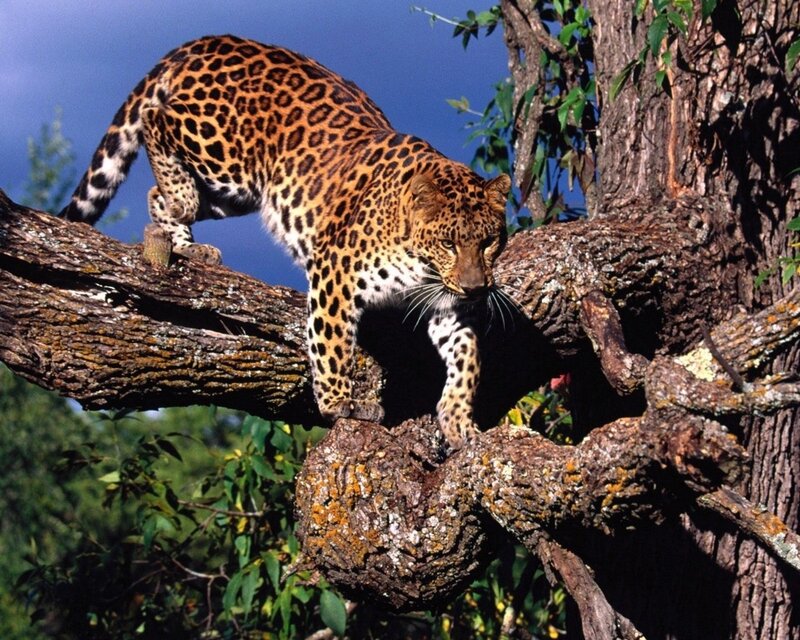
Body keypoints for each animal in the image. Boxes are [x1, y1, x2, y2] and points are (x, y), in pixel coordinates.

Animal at [59, 34, 512, 450]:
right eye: (449, 243)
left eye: (489, 242)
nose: (477, 288)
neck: (420, 261)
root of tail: (206, 40)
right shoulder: (336, 269)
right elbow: (332, 341)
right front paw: (340, 404)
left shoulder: (449, 306)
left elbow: (468, 358)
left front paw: (459, 421)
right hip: (222, 151)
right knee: (156, 121)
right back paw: (181, 197)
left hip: (236, 193)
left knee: (158, 196)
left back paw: (187, 244)